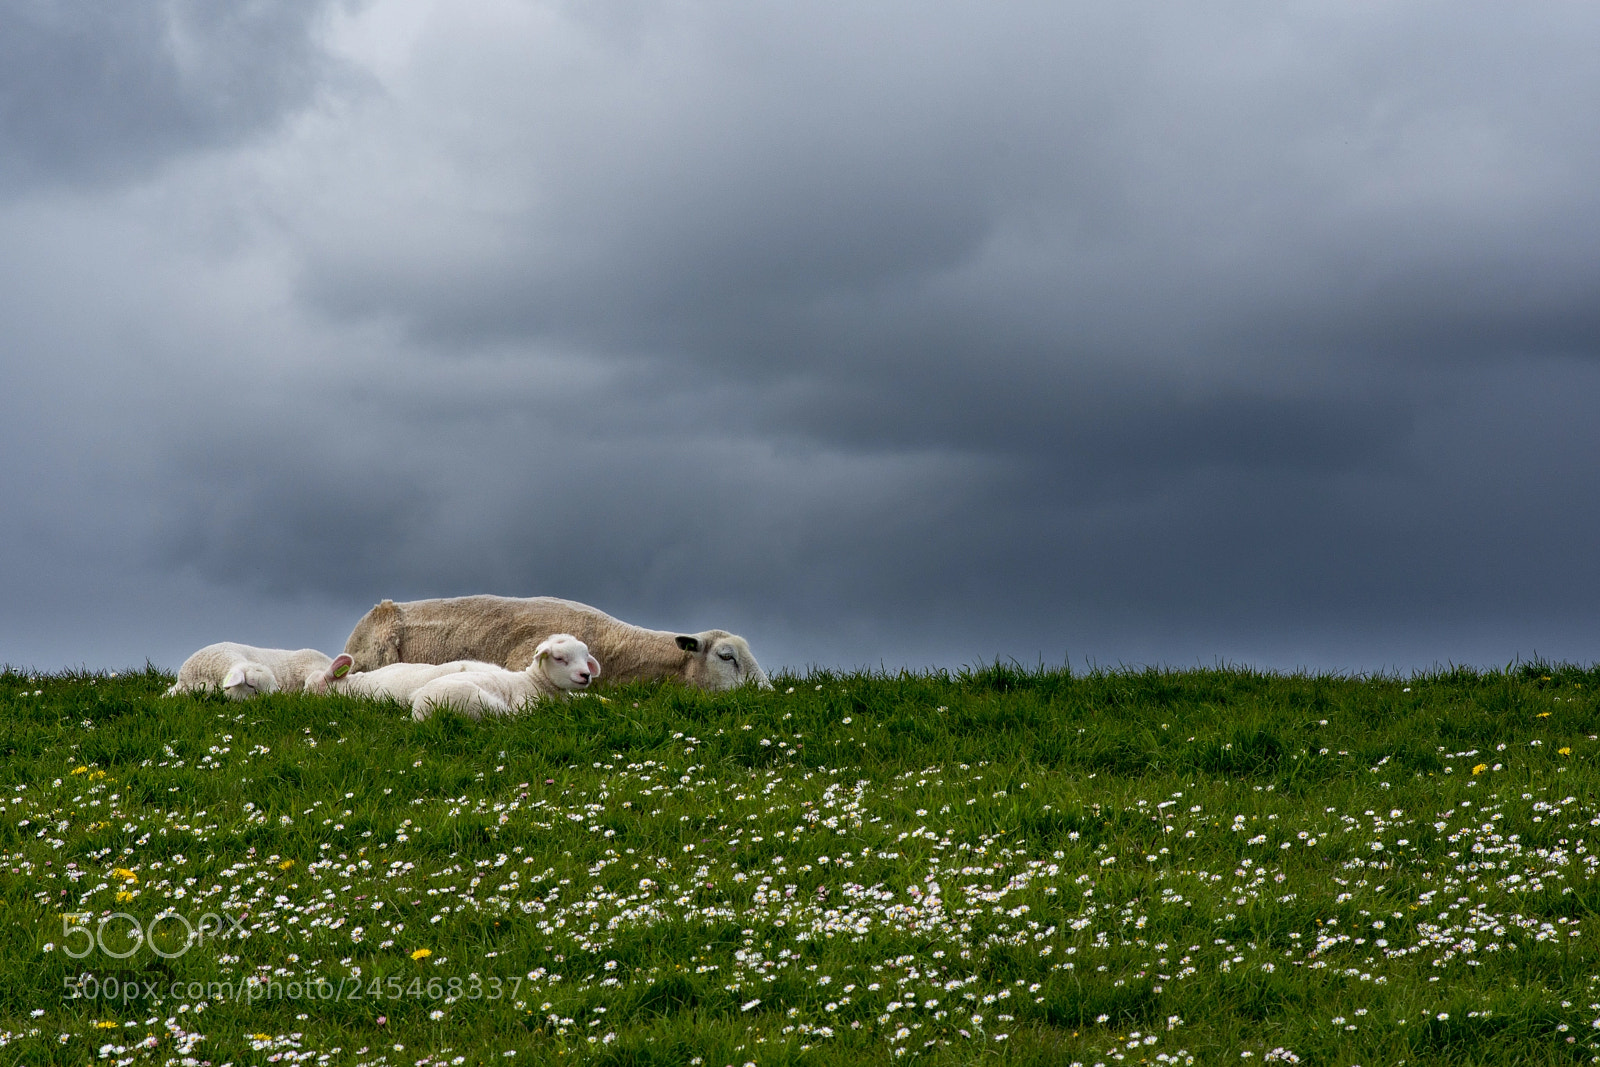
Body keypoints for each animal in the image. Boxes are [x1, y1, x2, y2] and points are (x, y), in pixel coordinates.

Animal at [410, 633, 599, 721]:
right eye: (559, 658)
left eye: (585, 657)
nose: (586, 675)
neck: (537, 681)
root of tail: (421, 711)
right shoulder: (524, 701)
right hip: (476, 701)